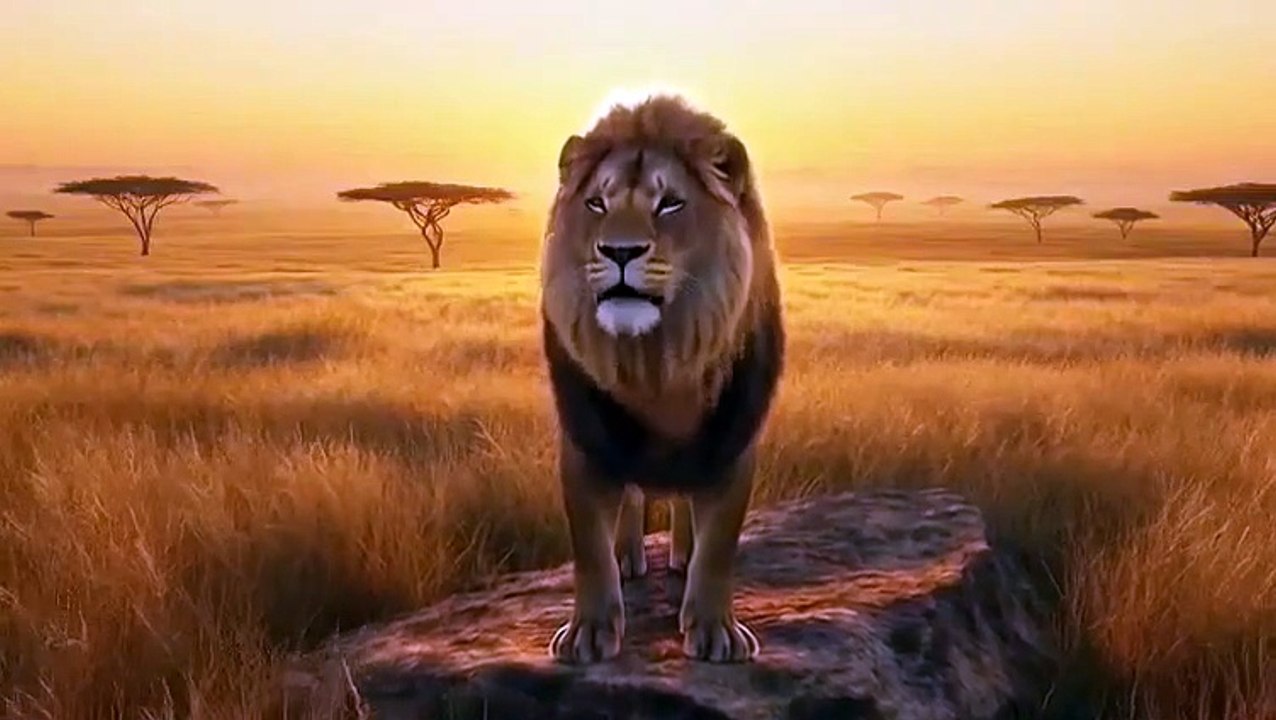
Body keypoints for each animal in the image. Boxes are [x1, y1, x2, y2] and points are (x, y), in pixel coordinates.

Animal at [539, 93, 785, 664]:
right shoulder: (583, 442)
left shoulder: (733, 443)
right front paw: (588, 633)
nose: (619, 251)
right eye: (597, 205)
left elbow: (720, 546)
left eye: (669, 204)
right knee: (631, 502)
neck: (656, 363)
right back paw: (630, 555)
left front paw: (717, 632)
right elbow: (588, 546)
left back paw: (681, 554)